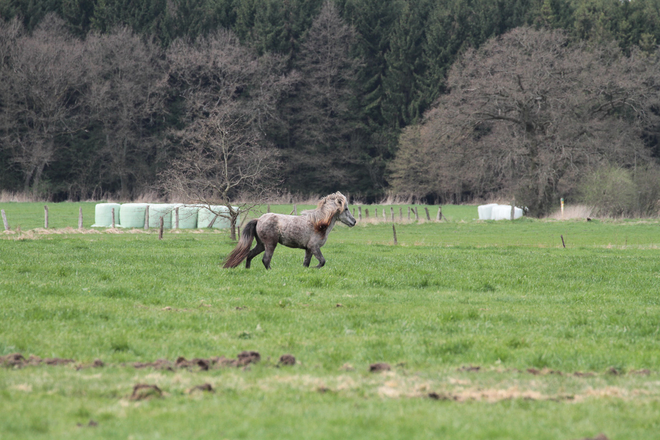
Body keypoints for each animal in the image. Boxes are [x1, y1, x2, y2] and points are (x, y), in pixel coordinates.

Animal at [222, 192, 356, 268]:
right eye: (346, 209)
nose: (354, 222)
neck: (318, 224)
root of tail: (259, 219)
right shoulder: (314, 247)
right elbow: (322, 262)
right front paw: (315, 268)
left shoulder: (308, 249)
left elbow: (306, 264)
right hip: (270, 244)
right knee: (266, 260)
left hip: (261, 244)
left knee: (250, 255)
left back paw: (248, 269)